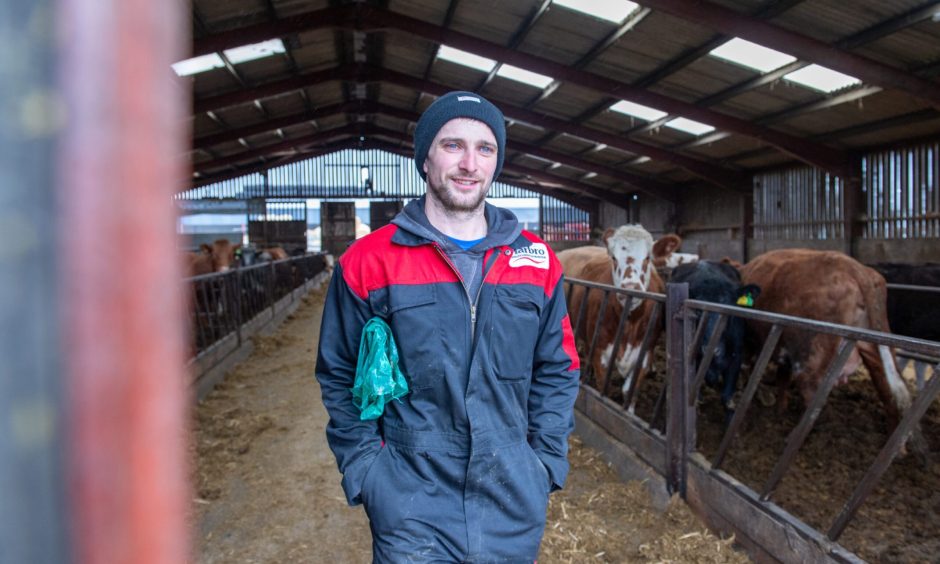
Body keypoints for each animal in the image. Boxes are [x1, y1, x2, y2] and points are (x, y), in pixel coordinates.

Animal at [560, 225, 668, 406]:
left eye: (647, 258)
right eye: (614, 258)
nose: (630, 287)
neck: (630, 321)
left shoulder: (645, 354)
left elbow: (629, 393)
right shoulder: (600, 352)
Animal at [672, 260, 760, 414]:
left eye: (729, 310)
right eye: (698, 311)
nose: (710, 349)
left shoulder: (737, 356)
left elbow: (727, 399)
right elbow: (696, 398)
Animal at [740, 249, 924, 452]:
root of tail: (854, 267)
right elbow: (781, 378)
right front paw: (779, 410)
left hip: (811, 359)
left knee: (813, 399)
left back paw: (793, 437)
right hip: (878, 350)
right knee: (888, 392)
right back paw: (897, 449)